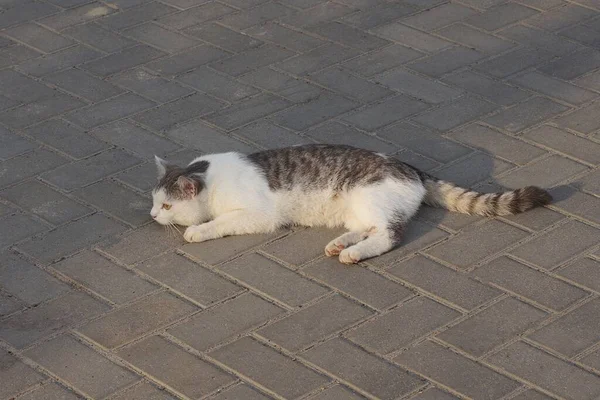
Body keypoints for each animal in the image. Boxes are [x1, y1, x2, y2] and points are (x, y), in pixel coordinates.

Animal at [151, 145, 552, 264]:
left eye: (167, 207)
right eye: (154, 201)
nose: (153, 215)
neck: (209, 175)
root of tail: (411, 169)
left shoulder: (258, 215)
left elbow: (221, 222)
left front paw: (198, 230)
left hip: (369, 196)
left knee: (389, 234)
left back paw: (352, 254)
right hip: (358, 207)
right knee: (367, 228)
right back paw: (340, 243)